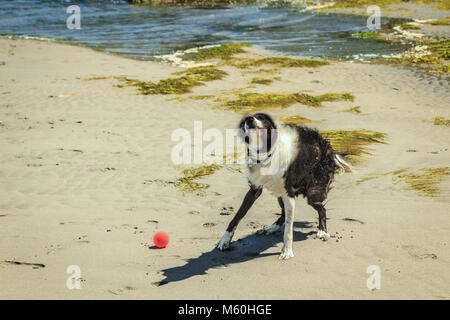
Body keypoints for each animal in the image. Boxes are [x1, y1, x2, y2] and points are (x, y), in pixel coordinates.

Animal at [216, 114, 350, 258]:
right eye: (245, 121)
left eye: (262, 118)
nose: (249, 119)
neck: (265, 153)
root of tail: (327, 147)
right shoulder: (254, 190)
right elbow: (237, 216)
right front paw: (225, 240)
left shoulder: (289, 194)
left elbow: (288, 229)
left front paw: (287, 251)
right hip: (280, 195)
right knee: (284, 214)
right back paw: (270, 228)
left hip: (313, 193)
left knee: (322, 209)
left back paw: (322, 231)